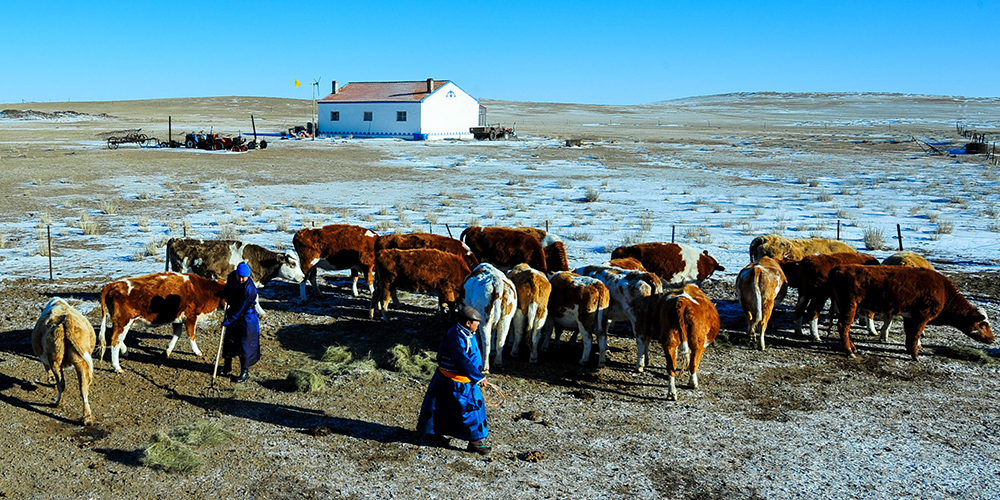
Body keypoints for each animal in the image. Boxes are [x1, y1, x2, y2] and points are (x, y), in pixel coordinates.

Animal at [98, 272, 227, 374]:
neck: (200, 289)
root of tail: (114, 284)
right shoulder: (190, 316)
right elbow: (191, 336)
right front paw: (197, 352)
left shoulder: (177, 318)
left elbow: (177, 334)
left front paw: (167, 351)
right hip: (123, 321)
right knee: (115, 340)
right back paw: (117, 367)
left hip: (121, 322)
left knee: (113, 334)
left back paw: (125, 351)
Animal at [828, 266, 992, 360]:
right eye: (983, 324)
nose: (993, 338)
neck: (943, 291)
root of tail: (838, 269)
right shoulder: (922, 316)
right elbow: (916, 334)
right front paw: (915, 355)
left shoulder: (909, 316)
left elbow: (909, 333)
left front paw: (908, 350)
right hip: (850, 305)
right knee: (843, 326)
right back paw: (849, 351)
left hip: (845, 305)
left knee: (844, 326)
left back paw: (853, 347)